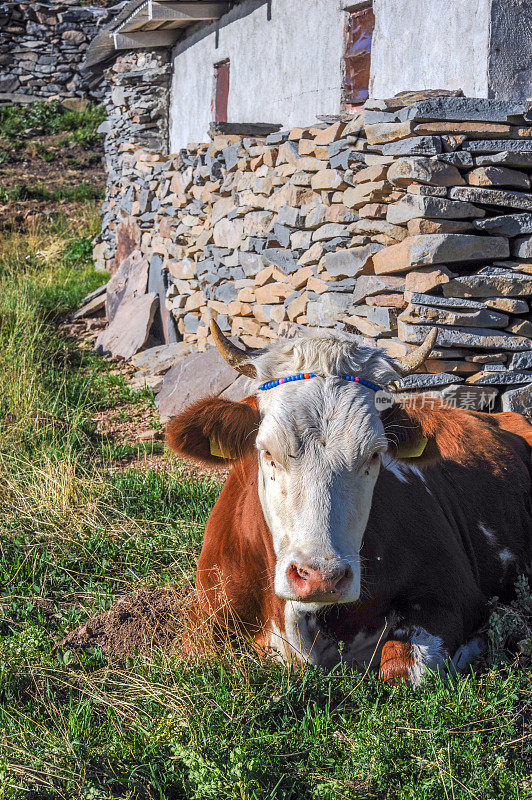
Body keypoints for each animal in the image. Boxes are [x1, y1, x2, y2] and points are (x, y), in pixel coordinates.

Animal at [167, 322, 532, 684]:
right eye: (267, 451)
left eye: (374, 454)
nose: (322, 577)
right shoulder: (202, 620)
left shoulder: (454, 594)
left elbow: (402, 669)